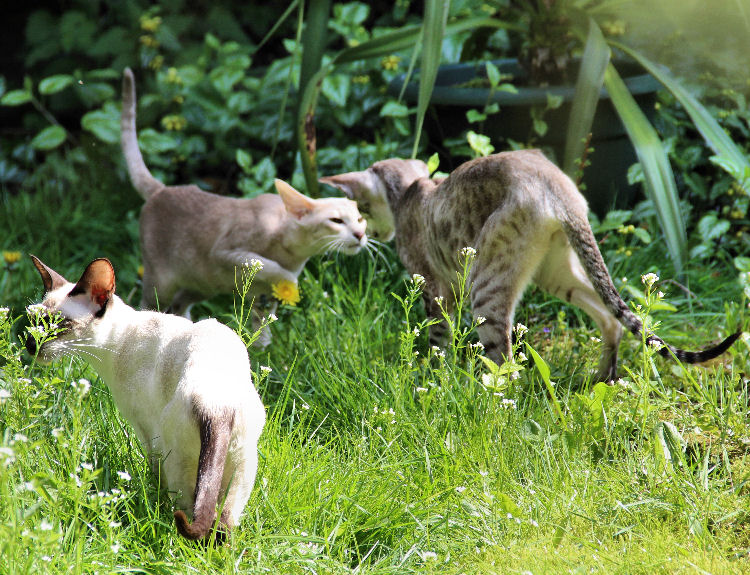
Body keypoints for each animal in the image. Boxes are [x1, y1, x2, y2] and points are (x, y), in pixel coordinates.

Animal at [26, 255, 266, 541]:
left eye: (58, 325)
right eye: (33, 321)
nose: (30, 345)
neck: (114, 345)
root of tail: (215, 403)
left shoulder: (147, 430)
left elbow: (154, 470)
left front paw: (152, 496)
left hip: (180, 462)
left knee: (190, 511)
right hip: (241, 468)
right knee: (223, 527)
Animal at [121, 67, 368, 344]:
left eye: (360, 219)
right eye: (336, 221)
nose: (360, 235)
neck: (289, 249)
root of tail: (161, 189)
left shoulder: (260, 291)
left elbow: (265, 314)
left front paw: (262, 343)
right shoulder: (225, 252)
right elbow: (278, 271)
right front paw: (288, 285)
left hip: (202, 284)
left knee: (180, 304)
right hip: (161, 281)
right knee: (150, 306)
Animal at [320, 150, 741, 381]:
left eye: (360, 207)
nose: (367, 232)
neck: (413, 192)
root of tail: (559, 186)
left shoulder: (434, 291)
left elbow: (438, 343)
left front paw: (435, 380)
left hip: (487, 286)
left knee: (505, 363)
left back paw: (489, 409)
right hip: (554, 271)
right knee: (610, 319)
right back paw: (602, 379)